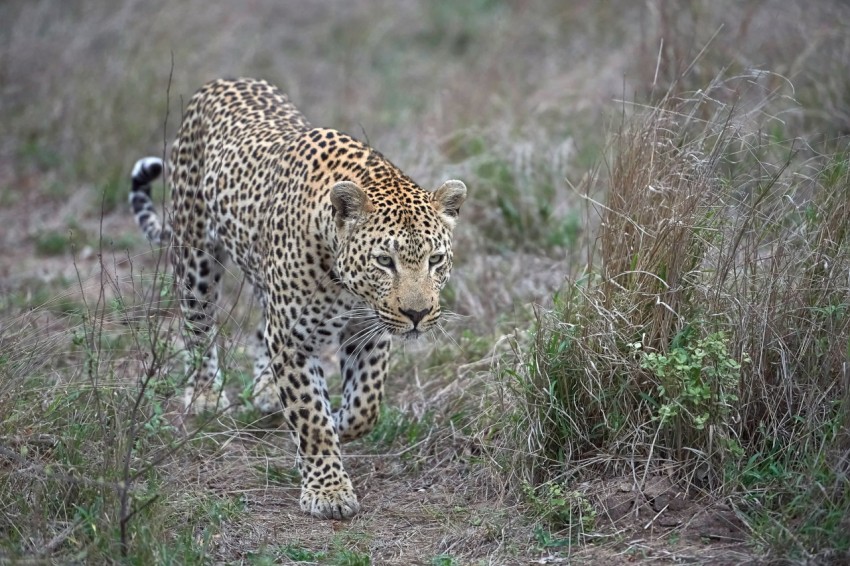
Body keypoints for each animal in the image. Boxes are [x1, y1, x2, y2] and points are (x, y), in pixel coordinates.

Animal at [129, 77, 468, 520]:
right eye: (384, 261)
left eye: (435, 259)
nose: (417, 313)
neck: (346, 283)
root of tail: (222, 81)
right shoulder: (293, 339)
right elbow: (310, 417)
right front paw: (327, 490)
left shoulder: (369, 332)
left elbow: (365, 407)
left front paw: (336, 423)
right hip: (196, 256)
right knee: (198, 326)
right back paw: (204, 396)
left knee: (259, 327)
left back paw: (265, 392)